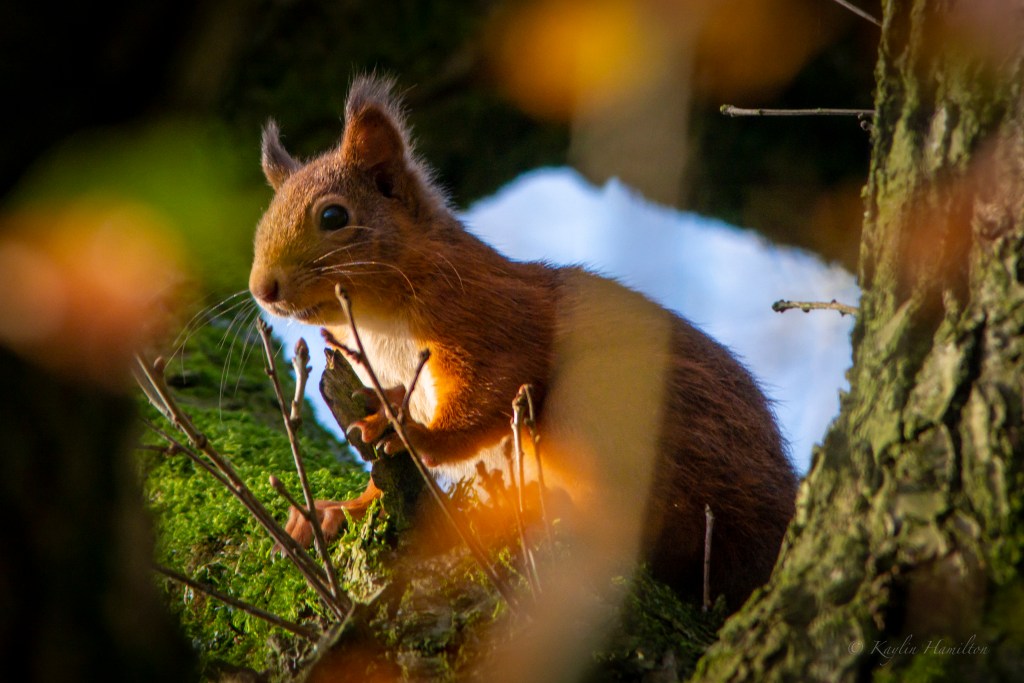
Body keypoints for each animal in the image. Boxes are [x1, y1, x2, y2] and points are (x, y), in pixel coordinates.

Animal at [248, 75, 797, 609]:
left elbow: (486, 396)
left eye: (334, 217)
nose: (261, 289)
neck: (380, 324)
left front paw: (413, 433)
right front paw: (342, 507)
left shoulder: (493, 322)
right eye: (264, 218)